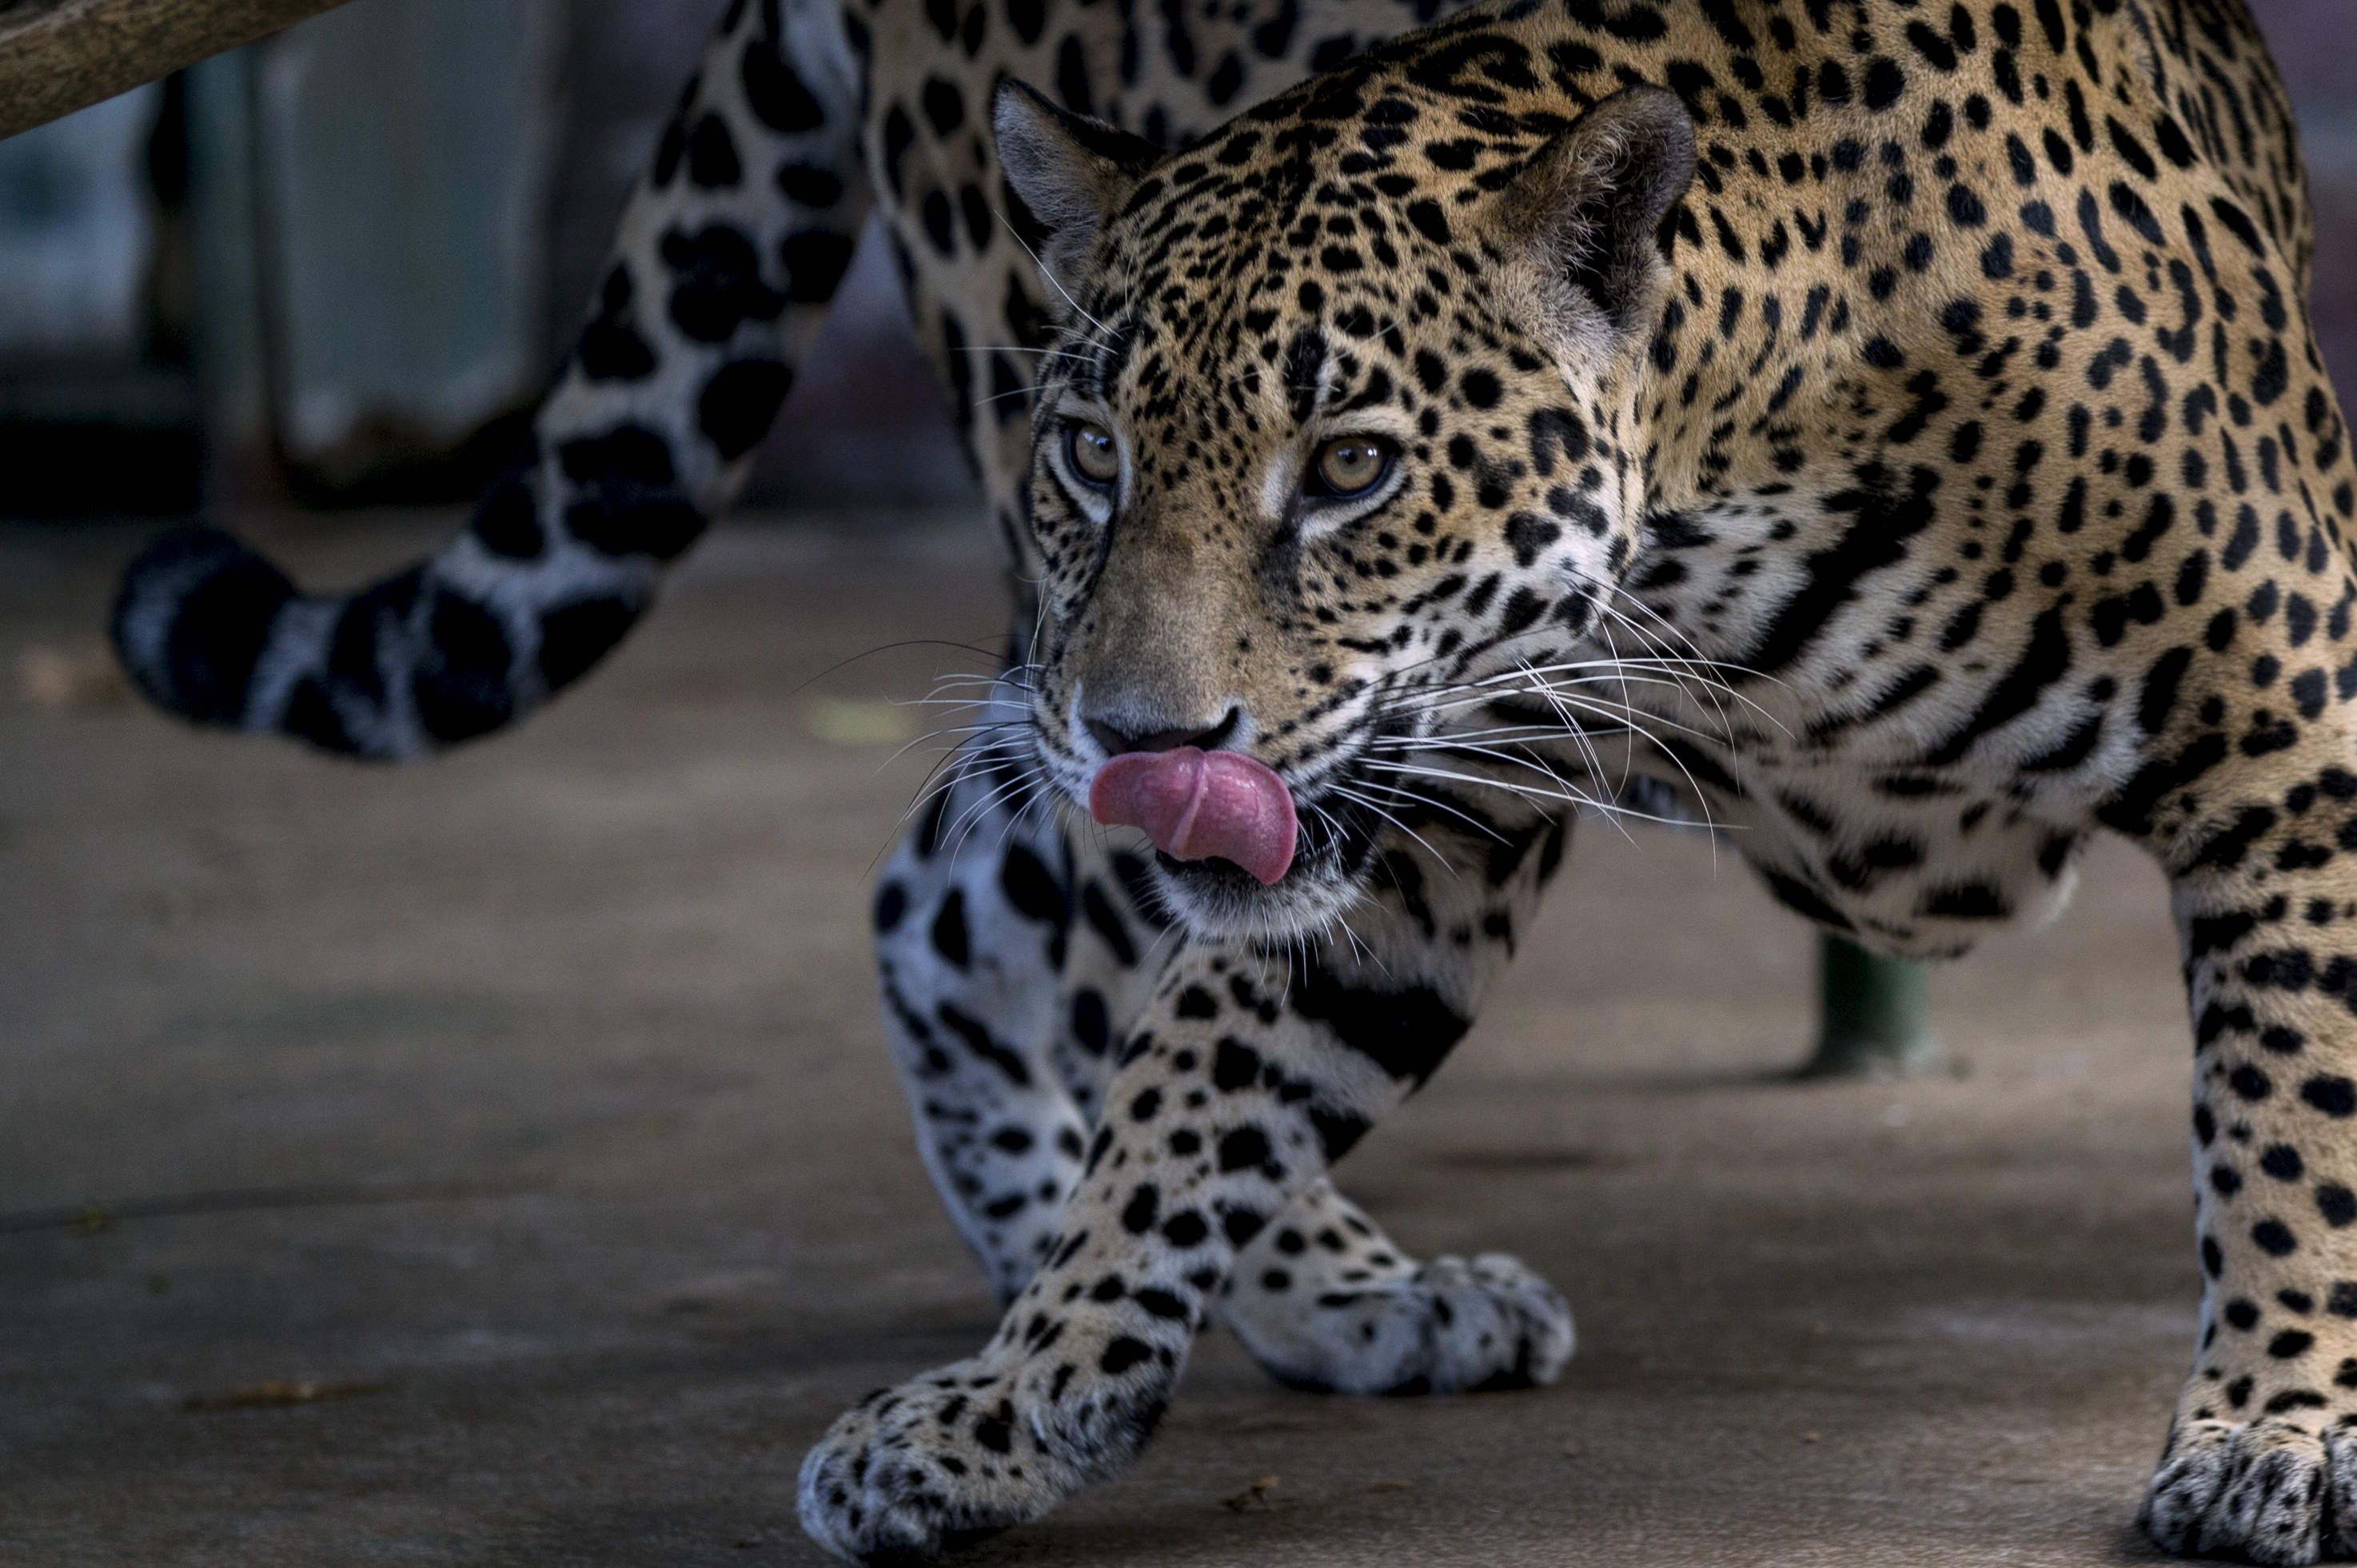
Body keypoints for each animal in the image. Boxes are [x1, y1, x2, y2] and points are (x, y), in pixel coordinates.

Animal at [104, 0, 2357, 1560]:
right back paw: (1318, 1293)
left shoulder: (2295, 728)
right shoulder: (1408, 818)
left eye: (1348, 466)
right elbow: (1191, 1103)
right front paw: (1018, 1398)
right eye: (1097, 449)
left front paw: (2280, 1429)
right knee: (976, 907)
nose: (1147, 736)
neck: (1713, 526)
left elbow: (2291, 1123)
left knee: (957, 889)